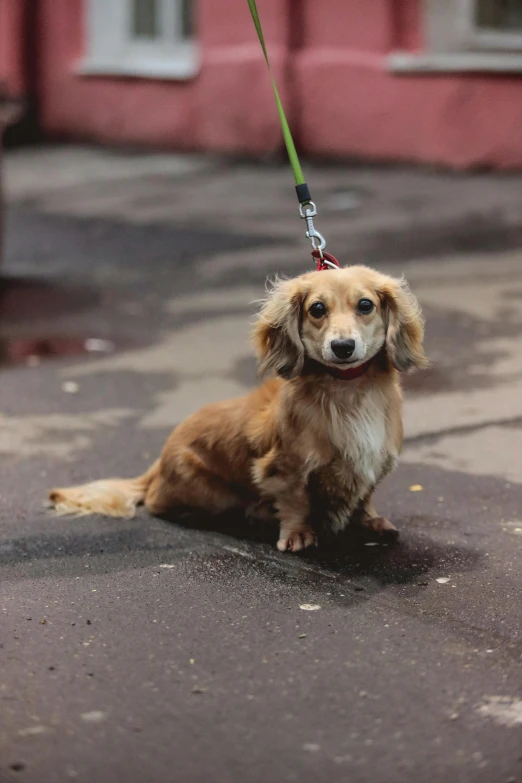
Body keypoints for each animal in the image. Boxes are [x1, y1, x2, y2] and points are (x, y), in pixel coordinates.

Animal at [47, 266, 426, 556]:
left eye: (365, 305)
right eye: (317, 309)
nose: (343, 347)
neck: (350, 392)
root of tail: (158, 461)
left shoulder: (374, 461)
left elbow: (364, 496)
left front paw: (369, 521)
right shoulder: (284, 468)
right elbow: (296, 501)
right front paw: (298, 534)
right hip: (208, 492)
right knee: (156, 502)